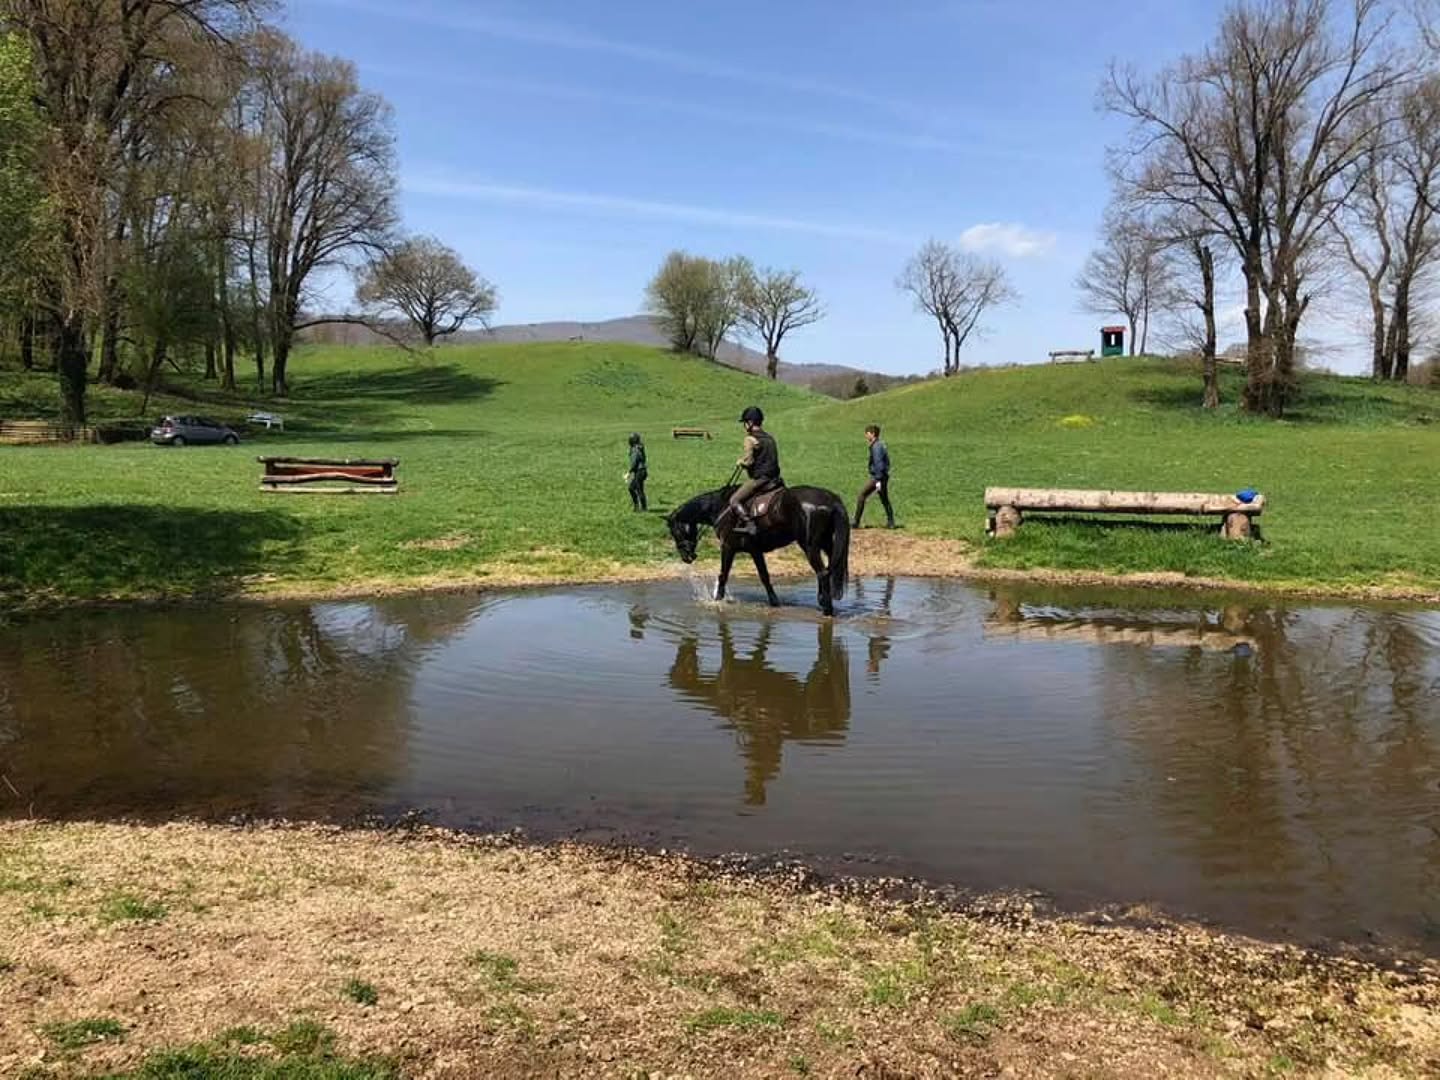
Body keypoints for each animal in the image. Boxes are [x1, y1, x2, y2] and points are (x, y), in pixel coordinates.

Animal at [665, 484, 851, 616]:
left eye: (674, 532)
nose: (687, 558)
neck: (721, 506)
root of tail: (831, 500)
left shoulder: (728, 547)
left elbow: (723, 576)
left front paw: (716, 601)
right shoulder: (755, 551)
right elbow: (765, 577)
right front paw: (775, 603)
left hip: (810, 546)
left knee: (822, 573)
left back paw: (827, 609)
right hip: (827, 544)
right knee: (830, 570)